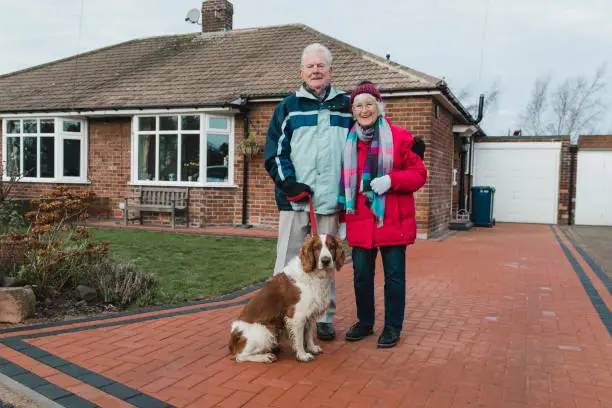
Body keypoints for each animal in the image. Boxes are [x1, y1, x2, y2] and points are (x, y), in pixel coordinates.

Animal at [228, 234, 344, 362]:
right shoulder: (297, 316)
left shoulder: (310, 313)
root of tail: (232, 340)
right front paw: (302, 355)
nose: (325, 260)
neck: (313, 275)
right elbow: (299, 339)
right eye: (316, 247)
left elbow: (308, 334)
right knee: (240, 356)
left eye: (332, 247)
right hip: (265, 331)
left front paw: (312, 348)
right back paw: (265, 357)